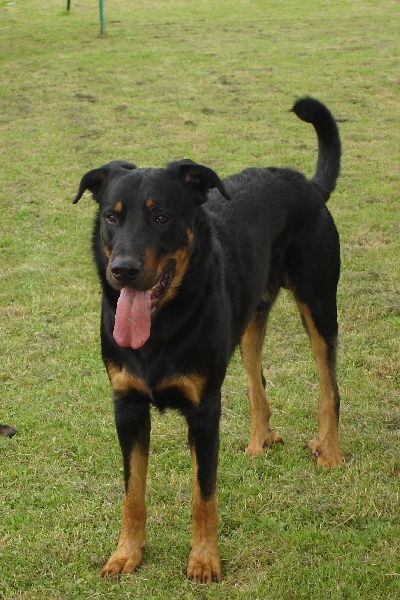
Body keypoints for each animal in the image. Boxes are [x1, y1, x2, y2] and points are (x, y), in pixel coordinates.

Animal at [73, 97, 343, 583]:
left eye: (161, 216)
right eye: (111, 217)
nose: (122, 270)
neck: (161, 325)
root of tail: (307, 185)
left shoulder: (203, 411)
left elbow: (204, 494)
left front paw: (203, 560)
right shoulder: (127, 406)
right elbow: (132, 492)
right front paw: (127, 554)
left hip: (318, 306)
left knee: (329, 386)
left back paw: (329, 452)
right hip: (250, 322)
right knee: (257, 384)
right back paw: (259, 441)